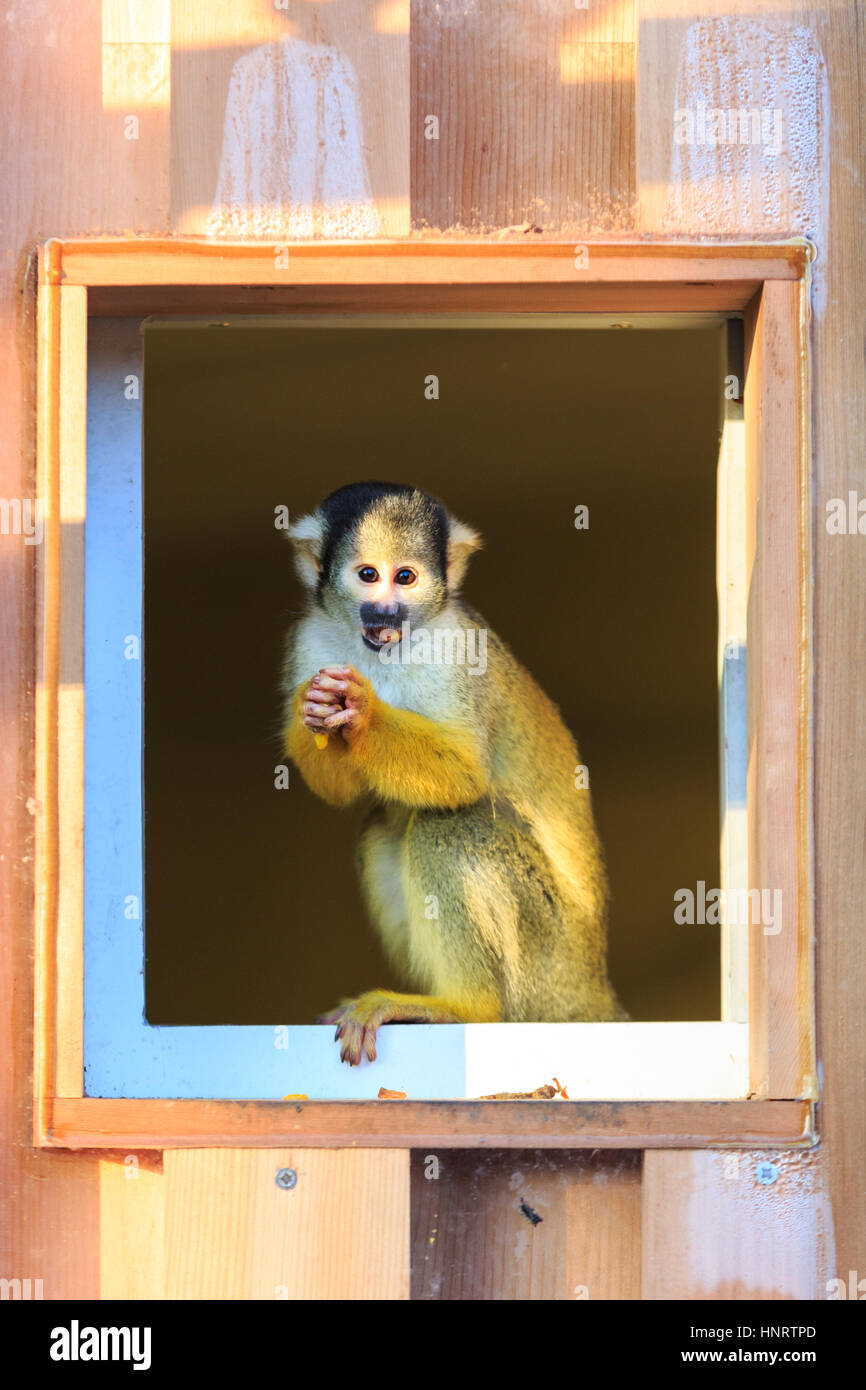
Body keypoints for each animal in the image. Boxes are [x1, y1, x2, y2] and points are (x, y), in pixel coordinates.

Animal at [282, 481, 627, 1065]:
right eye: (368, 575)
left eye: (405, 577)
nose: (385, 611)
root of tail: (593, 985)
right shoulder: (312, 642)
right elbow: (339, 787)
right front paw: (318, 709)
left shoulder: (461, 651)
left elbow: (463, 775)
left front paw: (365, 714)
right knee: (382, 829)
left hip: (548, 964)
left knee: (454, 823)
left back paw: (463, 1006)